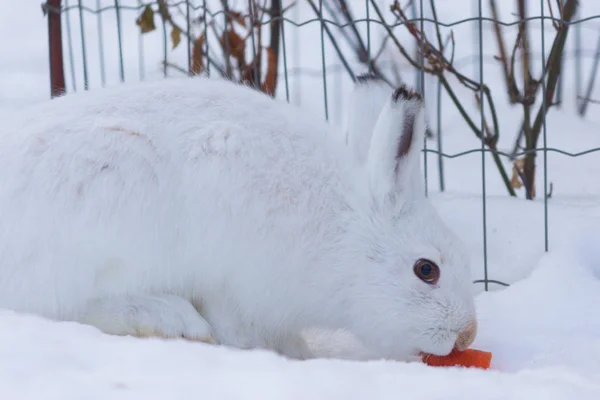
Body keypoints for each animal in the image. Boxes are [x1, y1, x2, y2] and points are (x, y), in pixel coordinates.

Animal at [1, 76, 478, 360]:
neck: (345, 233)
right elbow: (234, 323)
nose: (467, 336)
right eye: (426, 270)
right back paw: (169, 319)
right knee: (66, 306)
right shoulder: (233, 280)